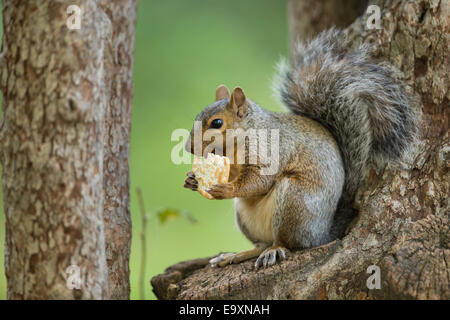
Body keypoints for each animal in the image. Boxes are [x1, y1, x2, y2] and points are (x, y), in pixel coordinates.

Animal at [182, 28, 414, 268]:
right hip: (246, 217)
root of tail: (323, 233)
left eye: (217, 123)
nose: (189, 148)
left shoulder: (270, 150)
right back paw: (235, 255)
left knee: (288, 243)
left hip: (294, 201)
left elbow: (259, 180)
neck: (236, 145)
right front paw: (192, 179)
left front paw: (226, 189)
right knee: (260, 245)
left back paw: (274, 250)